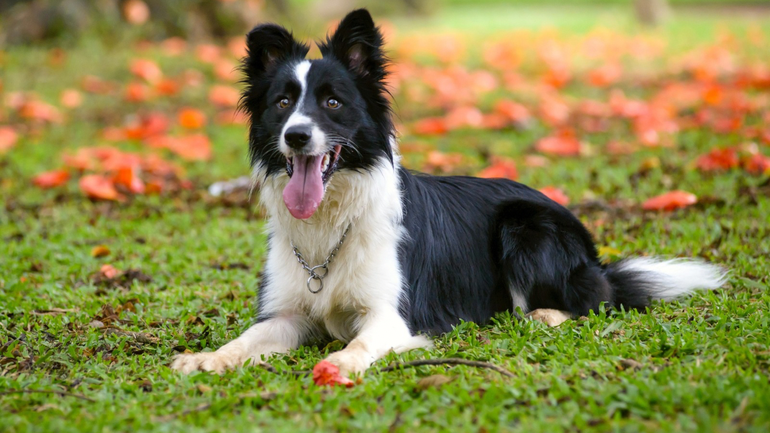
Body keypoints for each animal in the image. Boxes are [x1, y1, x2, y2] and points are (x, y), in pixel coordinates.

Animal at [170, 9, 728, 374]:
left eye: (332, 102)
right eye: (283, 103)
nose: (297, 136)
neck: (332, 221)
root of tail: (592, 253)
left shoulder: (393, 316)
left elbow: (358, 345)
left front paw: (340, 365)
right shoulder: (286, 313)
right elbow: (246, 338)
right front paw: (206, 358)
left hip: (525, 226)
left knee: (591, 300)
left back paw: (543, 314)